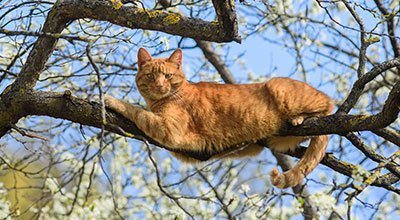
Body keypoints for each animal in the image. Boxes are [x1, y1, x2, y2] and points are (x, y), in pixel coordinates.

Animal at [104, 47, 332, 187]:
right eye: (151, 76)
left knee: (329, 104)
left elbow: (137, 110)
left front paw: (111, 99)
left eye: (167, 76)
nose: (160, 85)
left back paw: (300, 117)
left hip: (280, 88)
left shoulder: (169, 129)